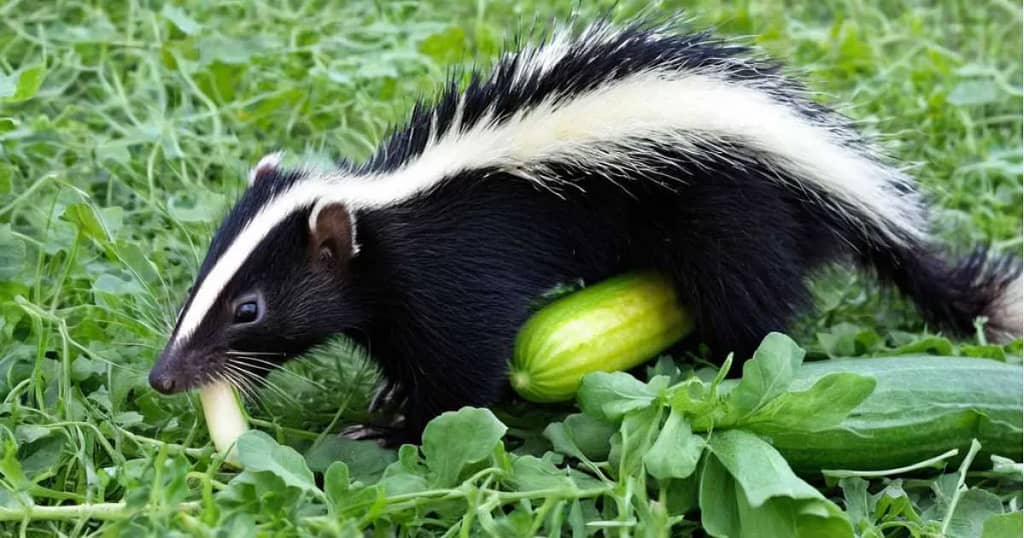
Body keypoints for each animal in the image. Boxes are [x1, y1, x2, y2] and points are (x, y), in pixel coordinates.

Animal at [151, 19, 1024, 440]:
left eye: (250, 309)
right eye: (200, 286)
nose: (165, 377)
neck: (387, 206)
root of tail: (837, 177)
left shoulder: (457, 271)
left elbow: (465, 370)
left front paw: (394, 431)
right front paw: (390, 397)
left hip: (738, 219)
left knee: (754, 310)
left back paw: (725, 369)